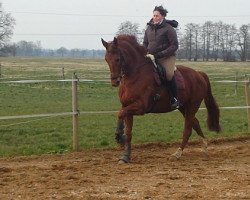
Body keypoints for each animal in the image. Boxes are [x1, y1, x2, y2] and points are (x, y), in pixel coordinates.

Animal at [100, 35, 220, 163]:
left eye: (117, 59)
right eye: (106, 59)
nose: (115, 81)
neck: (135, 74)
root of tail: (199, 74)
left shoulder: (140, 107)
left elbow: (120, 113)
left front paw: (119, 137)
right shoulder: (127, 106)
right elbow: (127, 130)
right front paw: (125, 155)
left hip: (192, 106)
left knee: (188, 129)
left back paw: (177, 154)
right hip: (184, 107)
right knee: (195, 123)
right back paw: (204, 148)